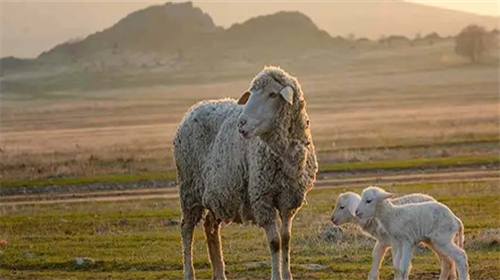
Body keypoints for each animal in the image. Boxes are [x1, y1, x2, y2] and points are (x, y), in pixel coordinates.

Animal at [174, 65, 318, 280]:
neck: (284, 156)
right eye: (252, 94)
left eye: (272, 94)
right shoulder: (262, 198)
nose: (241, 123)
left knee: (210, 227)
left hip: (219, 194)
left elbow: (286, 239)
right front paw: (276, 276)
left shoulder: (289, 200)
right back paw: (189, 273)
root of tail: (194, 109)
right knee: (186, 229)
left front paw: (287, 275)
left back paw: (219, 272)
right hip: (189, 189)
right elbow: (275, 242)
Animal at [330, 192, 458, 280]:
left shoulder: (395, 241)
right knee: (448, 260)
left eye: (342, 207)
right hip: (431, 240)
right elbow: (375, 259)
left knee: (448, 261)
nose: (332, 219)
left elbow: (397, 267)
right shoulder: (382, 242)